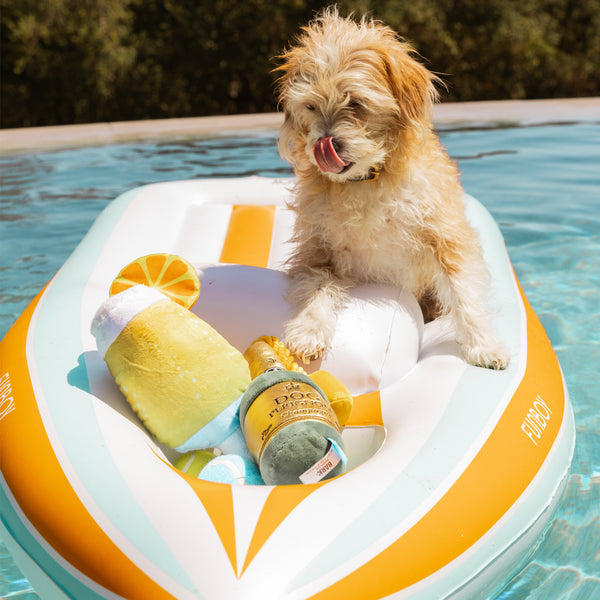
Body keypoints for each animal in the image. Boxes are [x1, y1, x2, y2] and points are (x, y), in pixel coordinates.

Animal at [274, 7, 508, 368]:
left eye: (355, 103)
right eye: (310, 106)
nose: (324, 144)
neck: (368, 181)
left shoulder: (446, 235)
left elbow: (463, 291)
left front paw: (483, 345)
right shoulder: (318, 251)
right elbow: (319, 289)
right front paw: (309, 330)